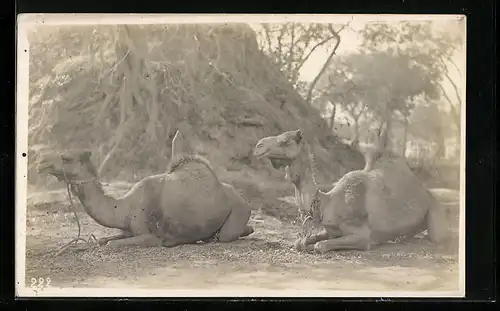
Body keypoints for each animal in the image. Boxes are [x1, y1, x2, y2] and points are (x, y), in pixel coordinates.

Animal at [37, 130, 254, 250]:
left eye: (66, 158)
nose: (41, 162)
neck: (124, 208)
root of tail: (242, 197)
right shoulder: (127, 231)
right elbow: (103, 240)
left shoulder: (151, 237)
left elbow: (110, 245)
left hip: (240, 209)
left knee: (227, 235)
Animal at [252, 129, 452, 254]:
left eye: (285, 141)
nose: (258, 146)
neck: (329, 203)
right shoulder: (332, 229)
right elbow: (300, 242)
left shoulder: (363, 236)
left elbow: (320, 246)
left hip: (435, 211)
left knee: (438, 236)